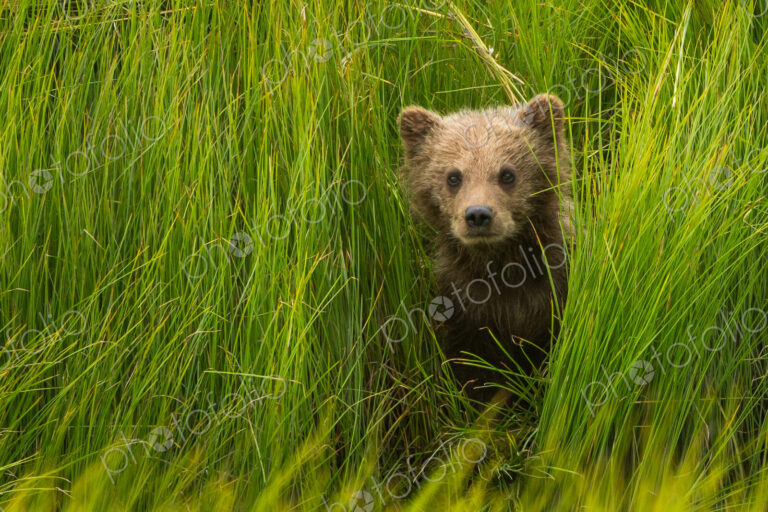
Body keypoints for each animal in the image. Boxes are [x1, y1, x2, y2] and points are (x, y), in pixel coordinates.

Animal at [398, 94, 572, 401]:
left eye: (507, 174)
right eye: (453, 176)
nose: (478, 214)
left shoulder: (553, 295)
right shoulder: (463, 306)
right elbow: (471, 366)